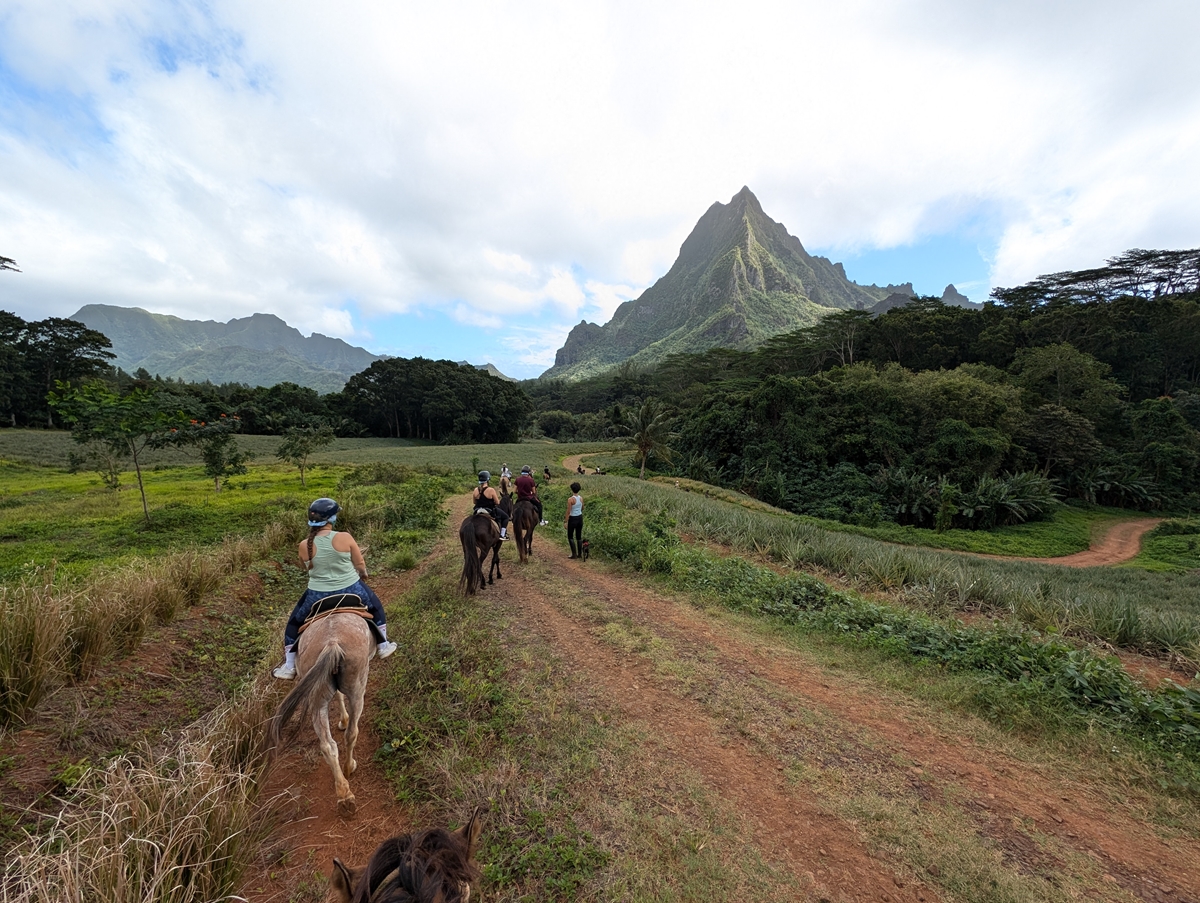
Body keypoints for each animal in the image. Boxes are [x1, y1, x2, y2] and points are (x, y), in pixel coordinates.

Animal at [270, 610, 372, 816]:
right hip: (358, 689)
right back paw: (349, 768)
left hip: (317, 698)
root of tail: (332, 643)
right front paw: (344, 720)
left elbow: (338, 695)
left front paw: (342, 720)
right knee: (351, 734)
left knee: (327, 745)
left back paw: (344, 796)